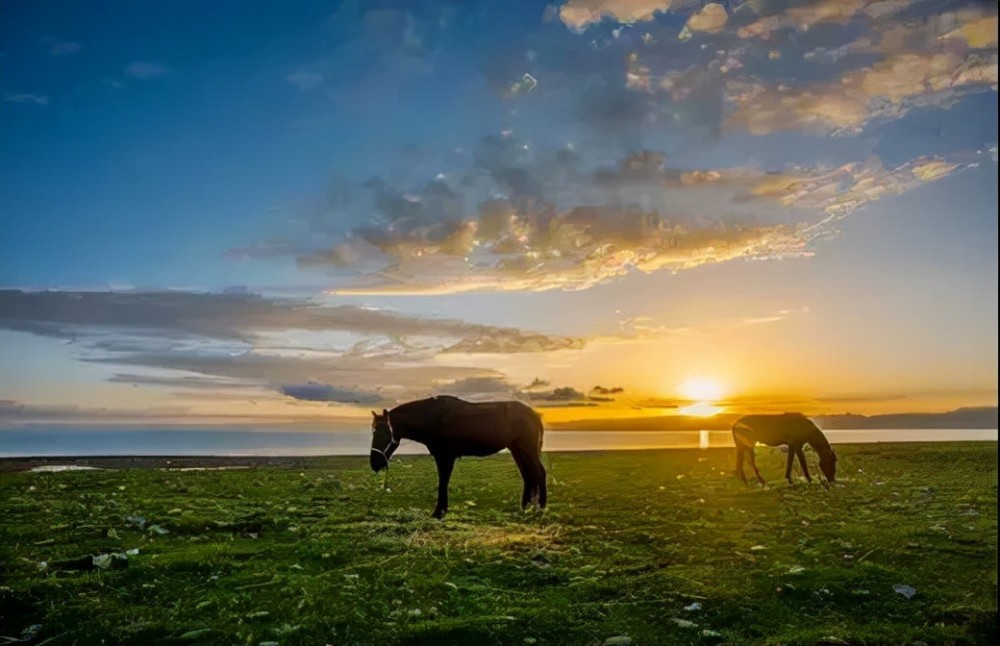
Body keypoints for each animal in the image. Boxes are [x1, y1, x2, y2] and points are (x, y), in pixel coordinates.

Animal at [370, 394, 548, 520]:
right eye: (373, 431)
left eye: (384, 433)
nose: (374, 463)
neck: (432, 417)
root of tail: (534, 415)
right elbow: (443, 483)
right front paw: (441, 510)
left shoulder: (445, 457)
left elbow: (442, 483)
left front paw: (438, 512)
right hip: (518, 451)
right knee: (528, 476)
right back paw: (525, 507)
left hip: (527, 450)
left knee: (539, 473)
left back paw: (541, 507)